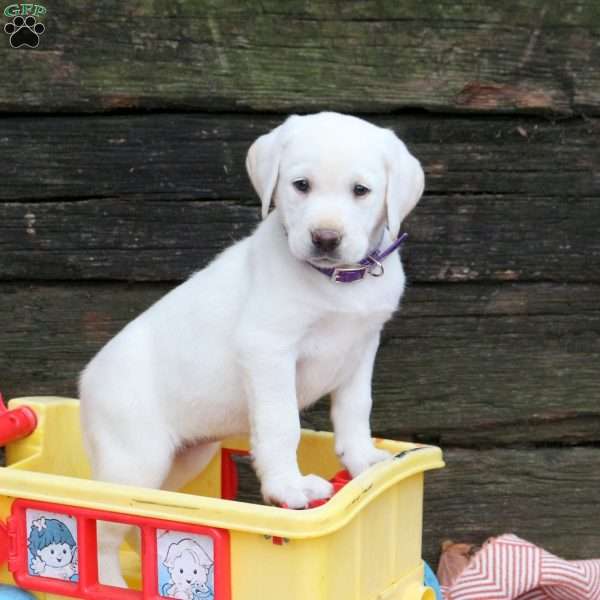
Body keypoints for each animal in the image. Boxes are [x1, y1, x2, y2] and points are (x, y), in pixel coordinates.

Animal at [79, 110, 424, 584]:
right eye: (301, 185)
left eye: (360, 190)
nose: (325, 238)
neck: (336, 285)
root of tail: (85, 382)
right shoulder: (269, 350)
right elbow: (282, 427)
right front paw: (288, 488)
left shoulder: (362, 347)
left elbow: (356, 411)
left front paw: (363, 462)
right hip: (133, 461)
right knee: (103, 527)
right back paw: (109, 582)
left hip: (181, 459)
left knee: (143, 519)